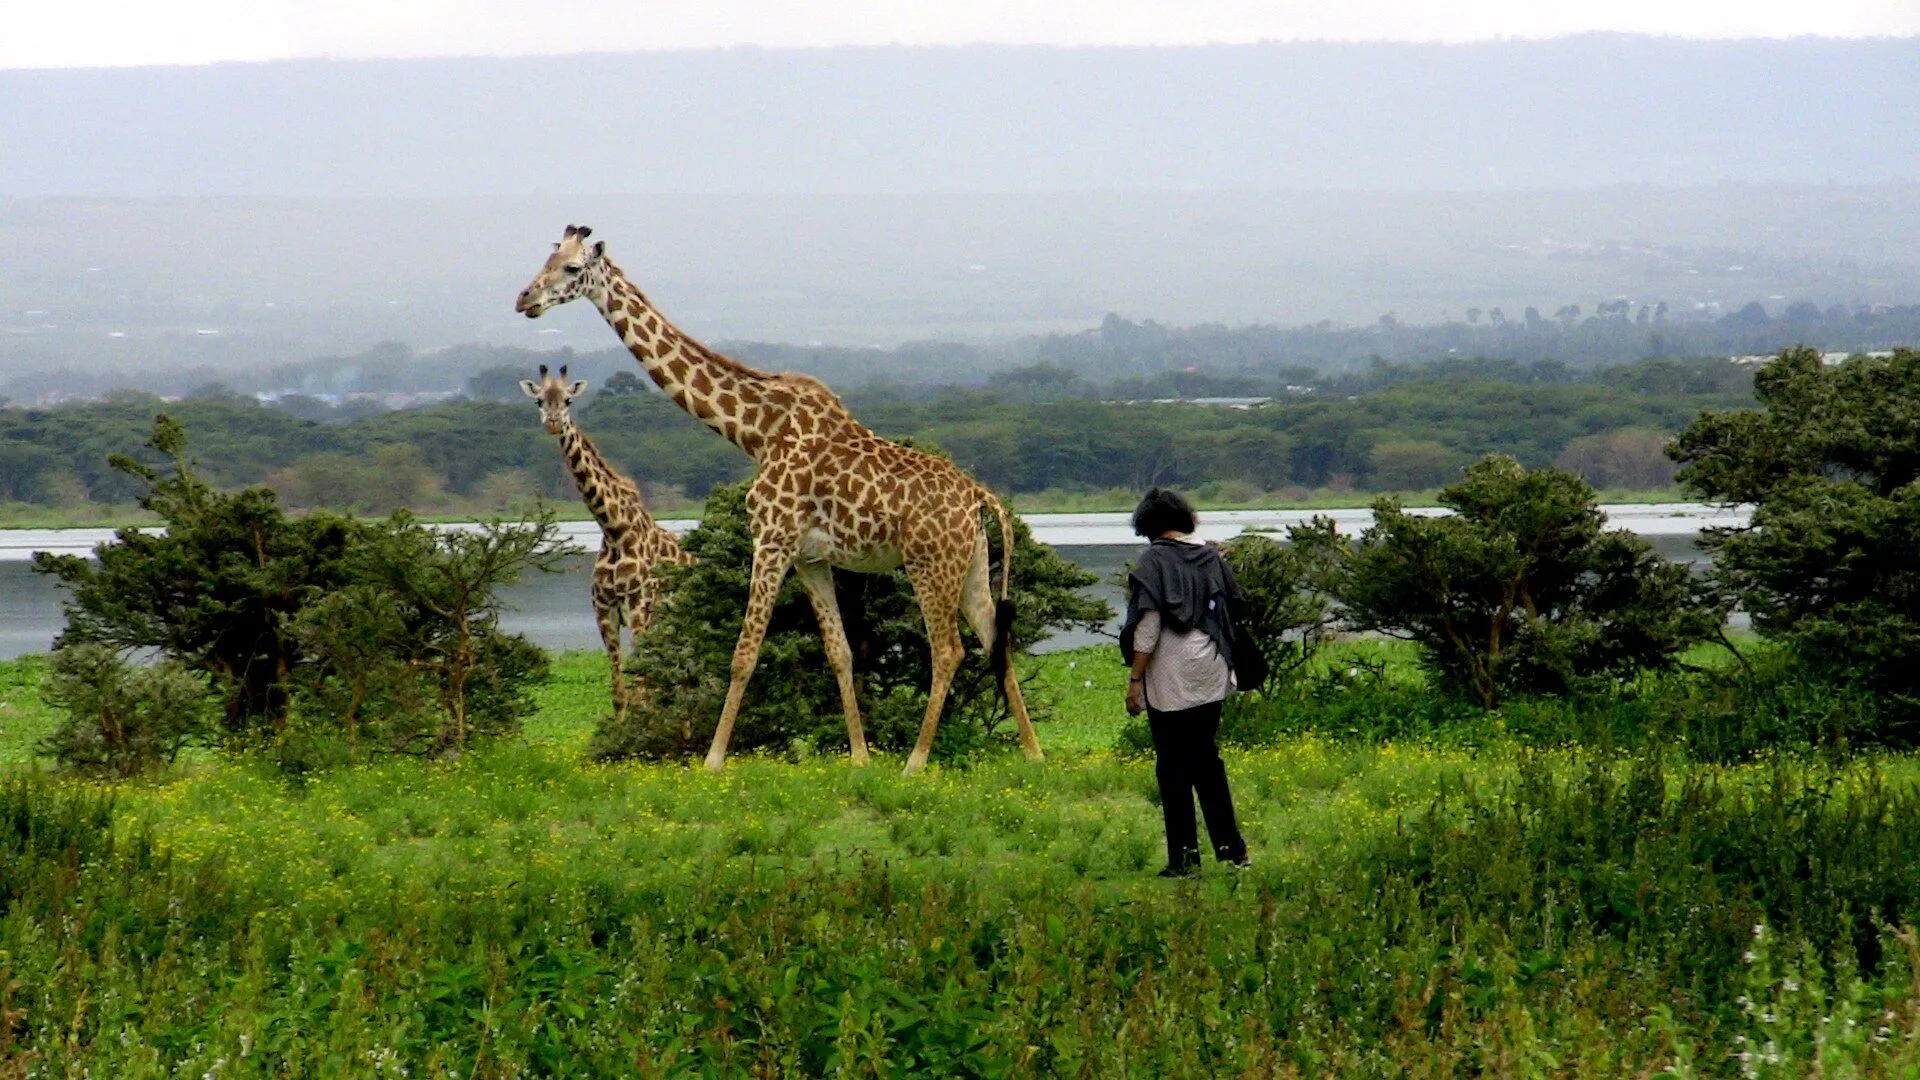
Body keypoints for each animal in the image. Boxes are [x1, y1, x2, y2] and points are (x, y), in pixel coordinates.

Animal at [518, 361, 698, 722]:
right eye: (540, 400)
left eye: (569, 400)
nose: (553, 422)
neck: (614, 529)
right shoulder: (605, 613)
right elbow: (619, 692)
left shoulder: (640, 610)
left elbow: (642, 690)